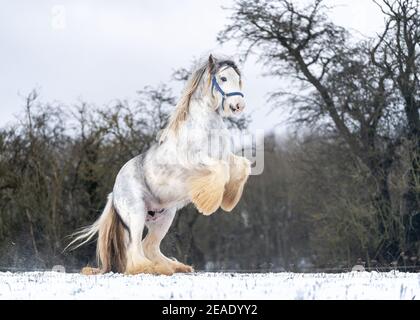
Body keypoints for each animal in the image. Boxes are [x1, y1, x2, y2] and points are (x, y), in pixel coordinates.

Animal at [67, 55, 251, 276]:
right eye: (223, 78)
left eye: (238, 78)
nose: (238, 105)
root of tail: (114, 194)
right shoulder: (197, 161)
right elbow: (221, 170)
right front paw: (210, 203)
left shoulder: (225, 156)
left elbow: (243, 165)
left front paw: (229, 199)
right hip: (136, 214)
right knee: (135, 250)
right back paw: (149, 269)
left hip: (164, 217)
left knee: (149, 246)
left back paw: (175, 267)